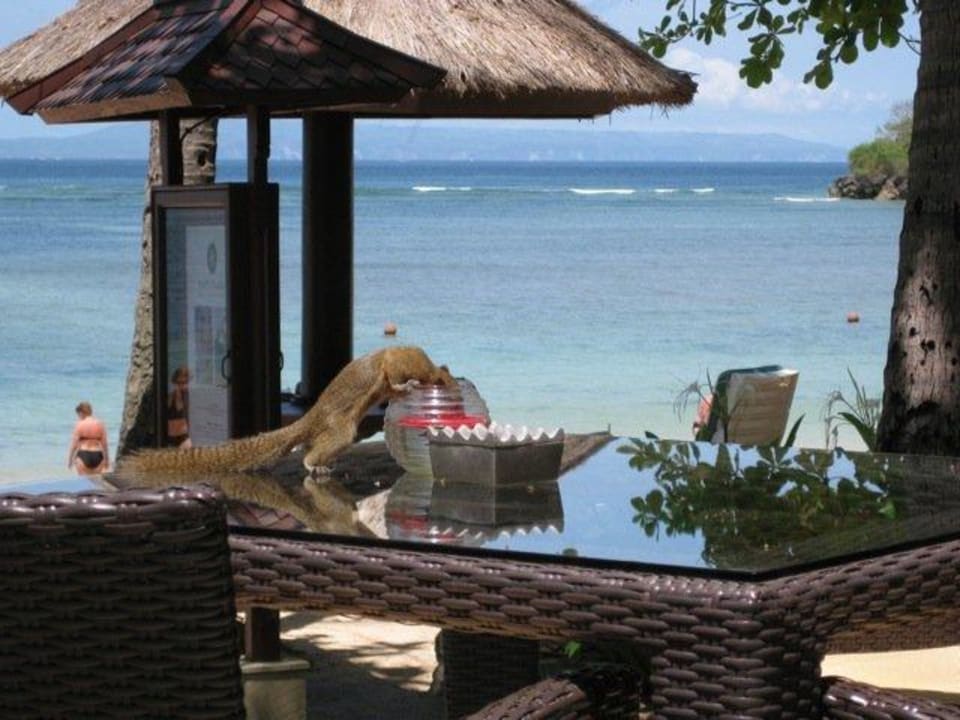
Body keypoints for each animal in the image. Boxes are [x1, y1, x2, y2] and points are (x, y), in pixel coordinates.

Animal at [117, 346, 455, 476]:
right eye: (451, 382)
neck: (428, 367)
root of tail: (311, 419)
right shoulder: (397, 361)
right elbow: (394, 378)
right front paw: (409, 386)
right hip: (341, 430)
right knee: (313, 451)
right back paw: (315, 466)